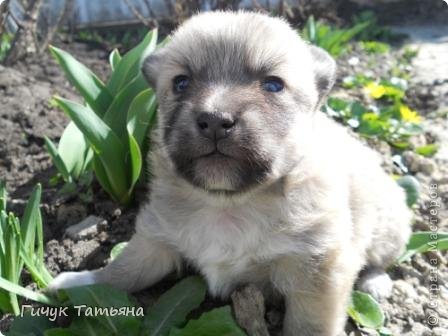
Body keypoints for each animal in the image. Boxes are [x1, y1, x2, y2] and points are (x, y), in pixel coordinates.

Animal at [50, 11, 412, 336]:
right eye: (181, 83)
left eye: (273, 85)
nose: (214, 121)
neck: (228, 203)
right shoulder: (156, 239)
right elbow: (124, 271)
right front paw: (78, 283)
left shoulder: (317, 273)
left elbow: (309, 325)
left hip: (387, 229)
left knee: (383, 257)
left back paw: (376, 281)